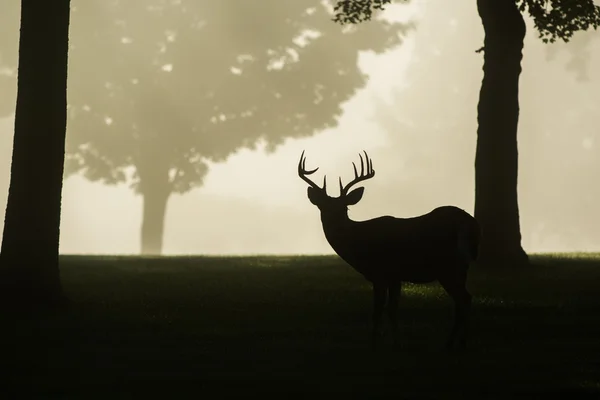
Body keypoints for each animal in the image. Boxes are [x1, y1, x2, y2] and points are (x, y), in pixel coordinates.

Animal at [298, 150, 480, 350]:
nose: (334, 224)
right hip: (460, 268)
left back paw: (456, 343)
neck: (359, 244)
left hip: (447, 266)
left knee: (463, 299)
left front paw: (374, 343)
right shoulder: (394, 277)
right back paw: (455, 343)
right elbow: (392, 309)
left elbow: (378, 310)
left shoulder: (381, 273)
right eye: (322, 207)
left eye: (345, 208)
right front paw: (396, 343)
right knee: (464, 300)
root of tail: (468, 223)